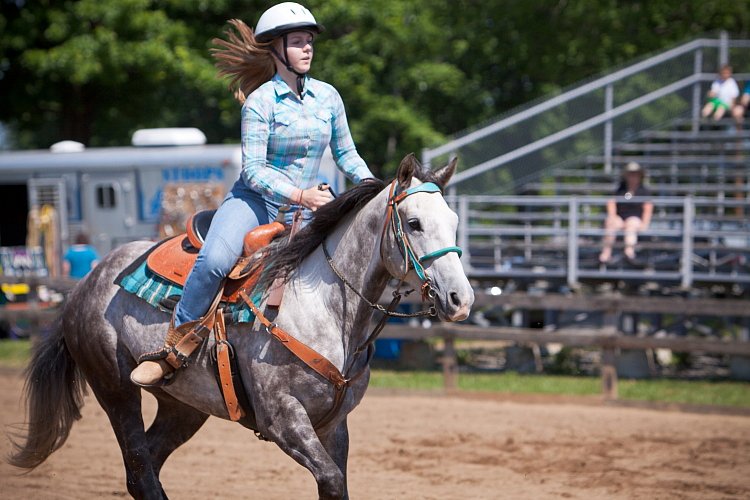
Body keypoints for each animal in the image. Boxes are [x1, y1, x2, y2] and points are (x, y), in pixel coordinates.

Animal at [8, 154, 472, 498]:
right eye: (414, 223)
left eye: (453, 222)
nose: (461, 299)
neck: (326, 310)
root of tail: (87, 282)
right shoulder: (282, 418)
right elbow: (330, 480)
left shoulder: (334, 426)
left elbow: (336, 485)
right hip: (116, 392)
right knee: (140, 471)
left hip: (183, 407)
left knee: (147, 469)